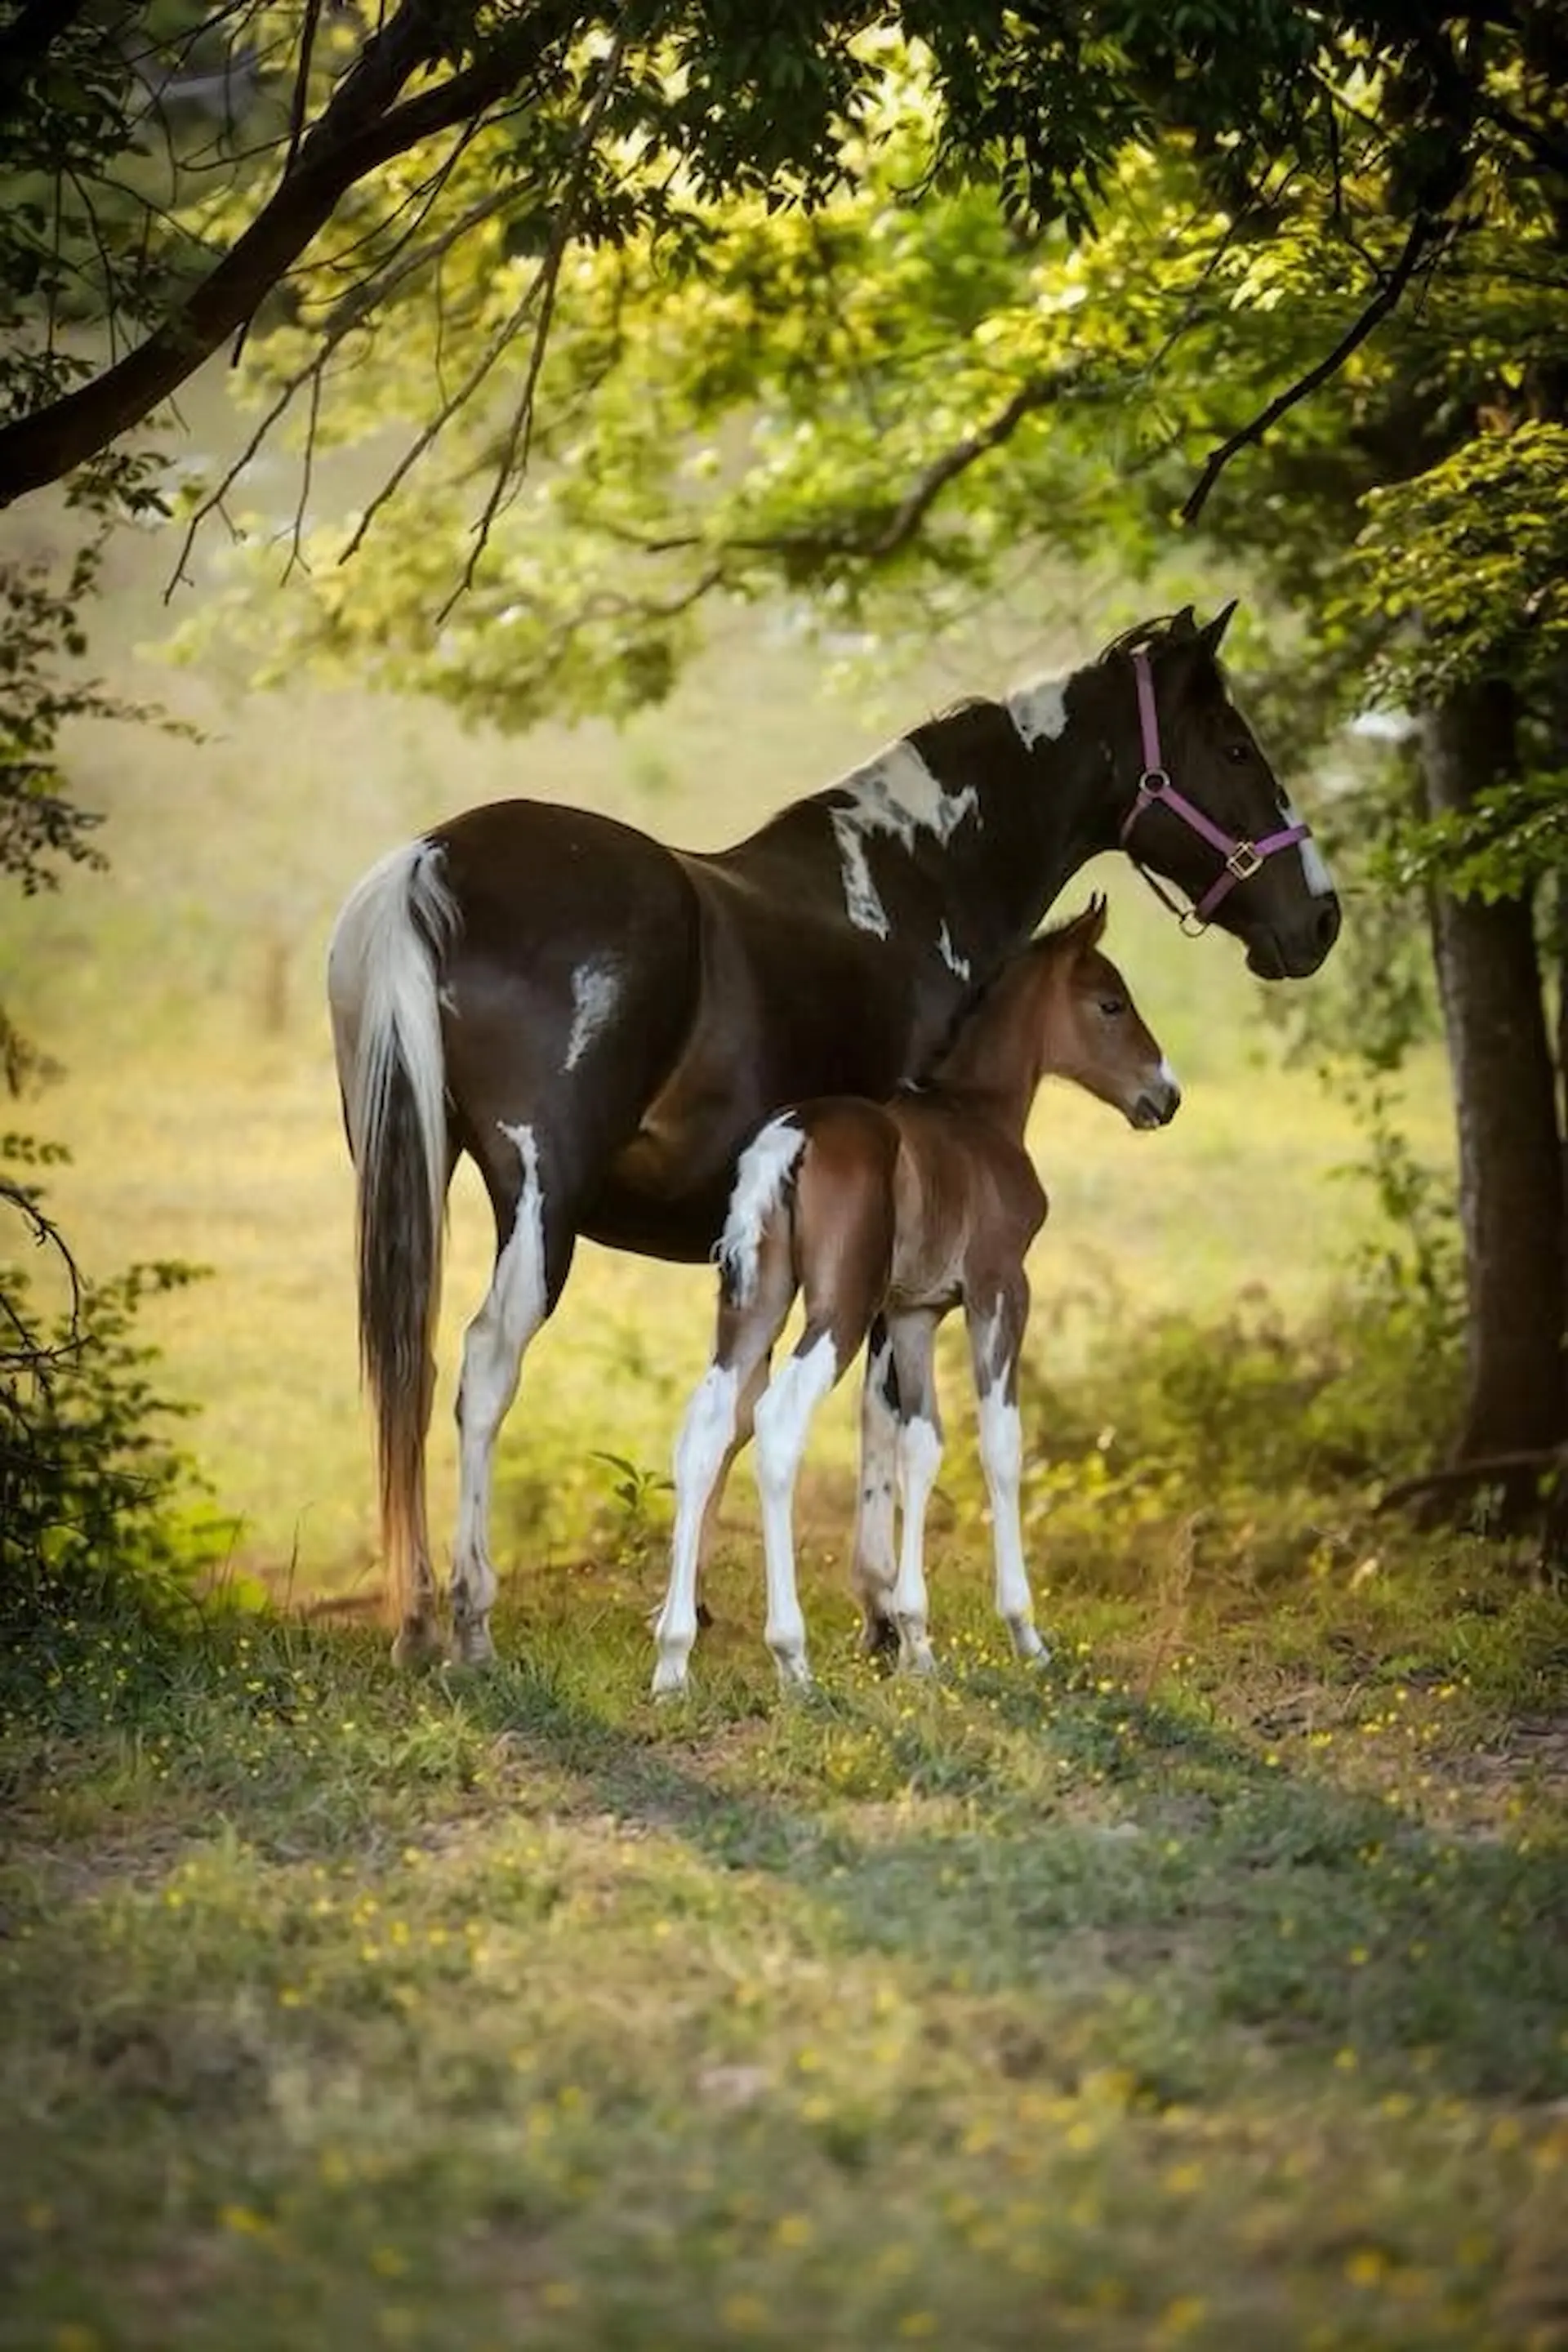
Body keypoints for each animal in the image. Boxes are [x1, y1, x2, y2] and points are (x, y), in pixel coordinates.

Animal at [651, 897, 1176, 1695]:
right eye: (1111, 1004)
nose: (1166, 1096)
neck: (980, 1115)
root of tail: (788, 1141)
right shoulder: (1000, 1287)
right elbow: (1000, 1445)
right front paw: (1024, 1633)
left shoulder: (915, 1311)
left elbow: (919, 1443)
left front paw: (916, 1640)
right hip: (836, 1308)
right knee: (775, 1423)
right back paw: (790, 1654)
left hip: (755, 1304)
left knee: (707, 1427)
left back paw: (674, 1658)